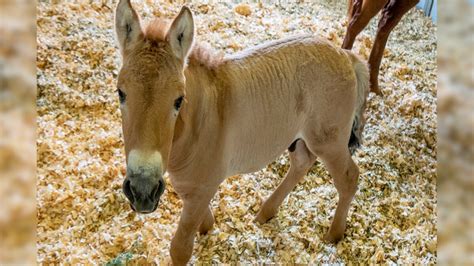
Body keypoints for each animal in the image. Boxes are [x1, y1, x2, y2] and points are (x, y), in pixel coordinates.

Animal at [114, 1, 370, 264]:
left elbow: (181, 248)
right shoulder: (189, 185)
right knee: (302, 162)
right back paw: (266, 212)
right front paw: (207, 227)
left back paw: (334, 234)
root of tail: (346, 56)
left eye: (178, 100)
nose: (142, 190)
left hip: (329, 142)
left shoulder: (203, 187)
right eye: (120, 93)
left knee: (348, 178)